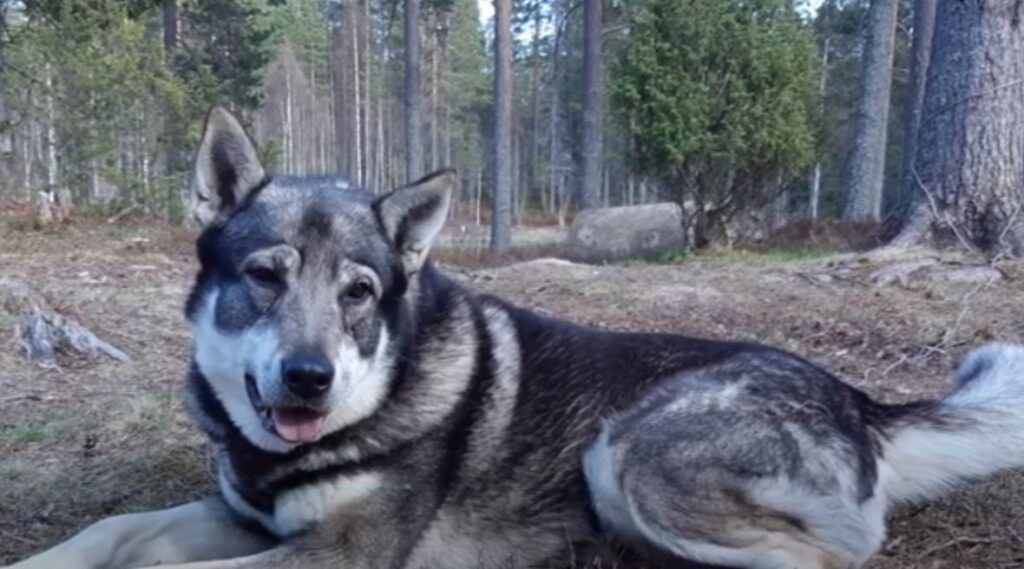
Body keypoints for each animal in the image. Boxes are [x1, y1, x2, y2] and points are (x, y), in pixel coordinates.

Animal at [8, 107, 1024, 569]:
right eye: (264, 276)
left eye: (360, 293)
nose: (309, 379)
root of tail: (860, 399)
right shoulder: (240, 515)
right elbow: (113, 529)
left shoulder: (338, 553)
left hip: (626, 453)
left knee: (821, 560)